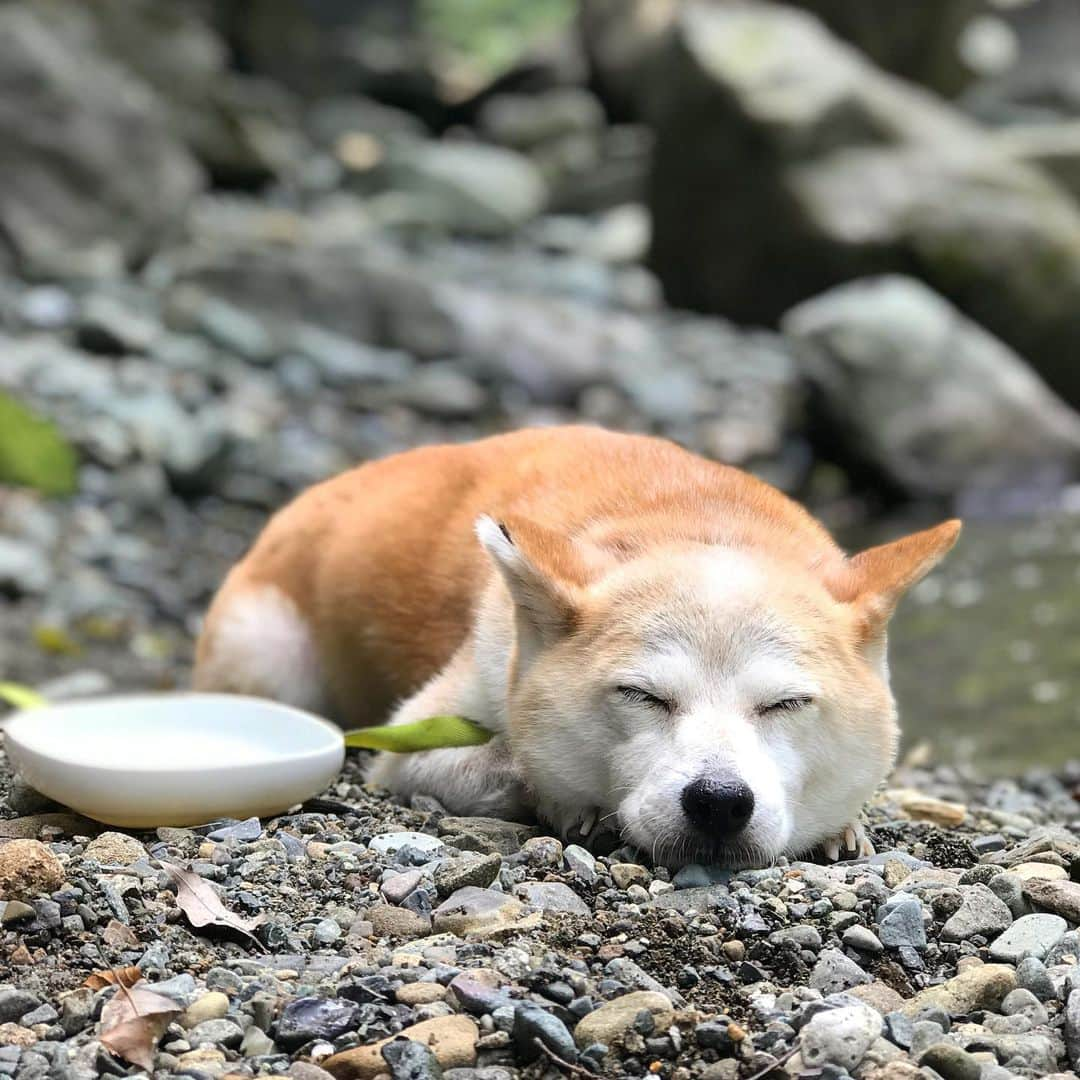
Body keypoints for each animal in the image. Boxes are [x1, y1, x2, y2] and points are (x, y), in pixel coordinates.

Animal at [190, 425, 959, 864]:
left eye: (785, 704)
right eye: (642, 696)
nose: (718, 801)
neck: (697, 518)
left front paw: (841, 824)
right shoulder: (412, 742)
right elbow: (511, 761)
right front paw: (567, 802)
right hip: (267, 653)